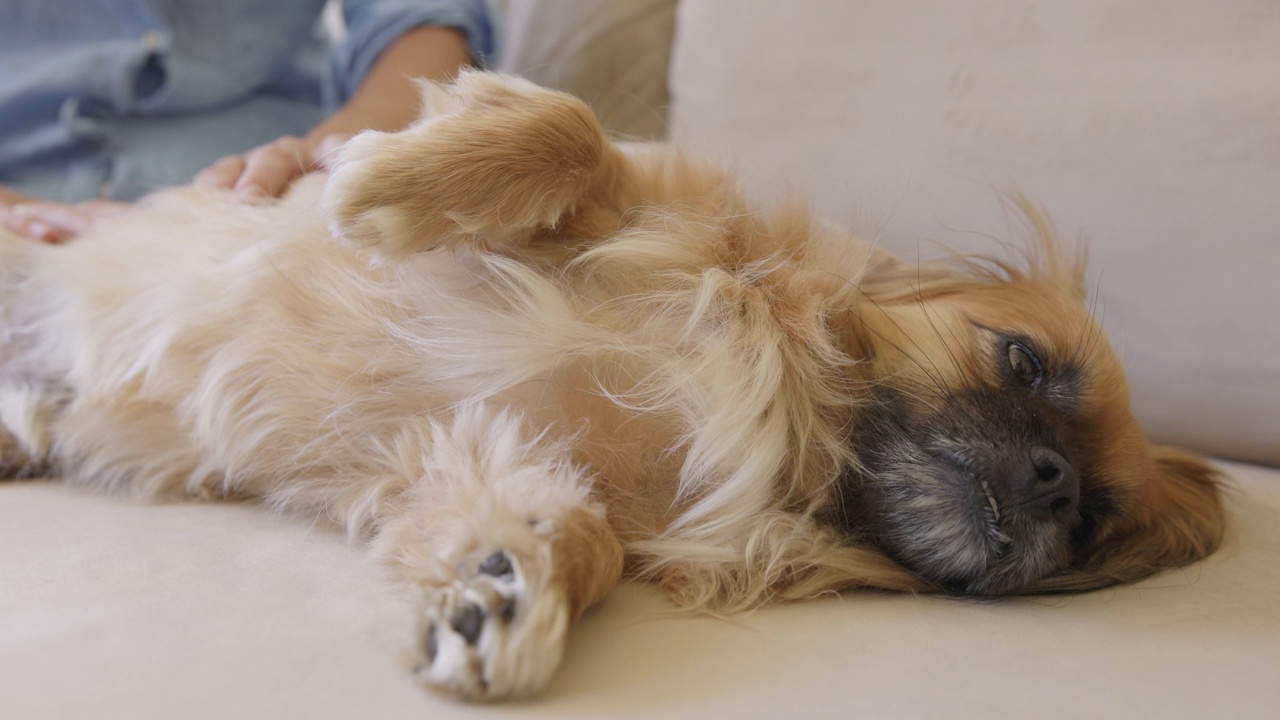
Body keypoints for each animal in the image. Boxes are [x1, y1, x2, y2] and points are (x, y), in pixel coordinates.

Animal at [0, 73, 1218, 696]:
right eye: (1019, 360)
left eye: (1090, 520)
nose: (1054, 480)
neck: (800, 428)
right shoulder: (627, 216)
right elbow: (570, 131)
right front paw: (385, 181)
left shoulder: (478, 454)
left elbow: (567, 534)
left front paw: (505, 587)